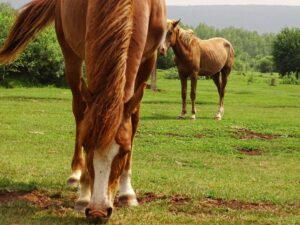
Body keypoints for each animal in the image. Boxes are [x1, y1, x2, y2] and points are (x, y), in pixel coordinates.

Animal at [0, 0, 166, 222]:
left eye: (124, 151)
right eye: (87, 146)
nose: (98, 212)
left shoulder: (149, 58)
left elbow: (134, 118)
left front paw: (127, 192)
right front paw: (84, 196)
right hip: (70, 55)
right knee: (80, 111)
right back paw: (76, 174)